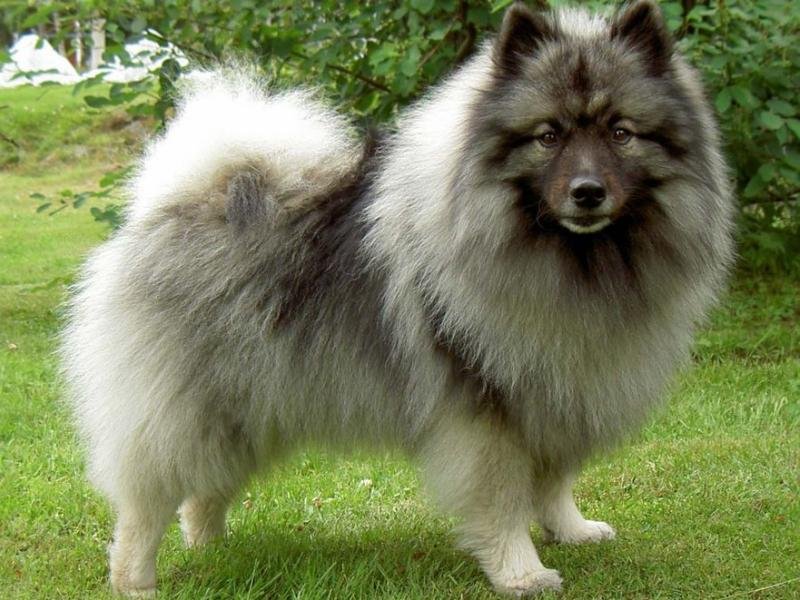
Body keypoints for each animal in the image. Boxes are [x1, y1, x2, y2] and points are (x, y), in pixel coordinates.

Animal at [61, 1, 734, 596]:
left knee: (204, 491)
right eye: (547, 137)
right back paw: (137, 581)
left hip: (247, 404)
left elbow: (552, 482)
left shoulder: (556, 394)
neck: (573, 262)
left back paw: (213, 548)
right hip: (187, 411)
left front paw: (570, 530)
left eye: (621, 133)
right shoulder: (485, 411)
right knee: (145, 504)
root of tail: (180, 199)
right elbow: (504, 498)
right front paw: (522, 572)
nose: (588, 191)